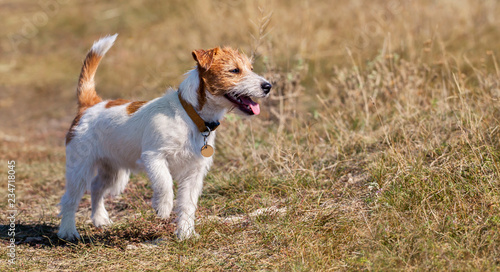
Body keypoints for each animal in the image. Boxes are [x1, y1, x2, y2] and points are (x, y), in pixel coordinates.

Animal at [57, 34, 274, 240]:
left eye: (251, 68)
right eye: (234, 71)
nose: (268, 86)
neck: (191, 115)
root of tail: (91, 104)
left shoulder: (194, 173)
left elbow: (187, 205)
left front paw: (186, 234)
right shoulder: (154, 157)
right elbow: (165, 182)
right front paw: (163, 208)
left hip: (114, 173)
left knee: (96, 188)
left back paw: (100, 218)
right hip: (80, 168)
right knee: (70, 199)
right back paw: (68, 231)